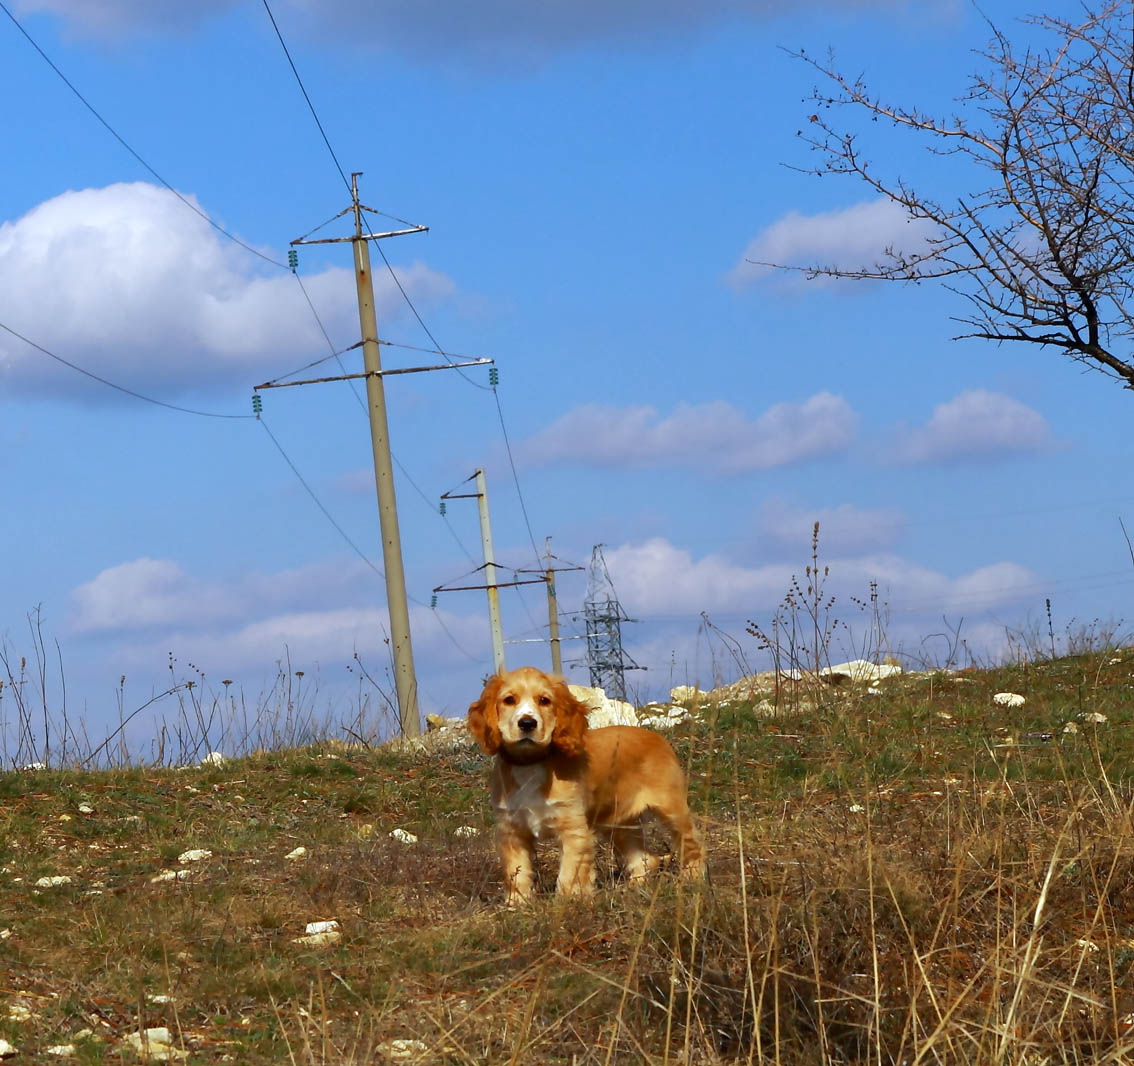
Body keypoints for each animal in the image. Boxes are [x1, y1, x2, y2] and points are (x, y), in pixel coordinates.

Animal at [467, 671, 698, 902]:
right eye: (509, 700)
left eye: (544, 700)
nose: (527, 723)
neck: (530, 762)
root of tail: (659, 739)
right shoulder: (512, 831)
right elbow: (517, 873)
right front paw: (517, 904)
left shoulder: (573, 829)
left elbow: (570, 874)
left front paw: (567, 903)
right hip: (618, 823)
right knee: (645, 858)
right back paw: (632, 888)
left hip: (671, 809)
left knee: (692, 842)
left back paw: (692, 877)